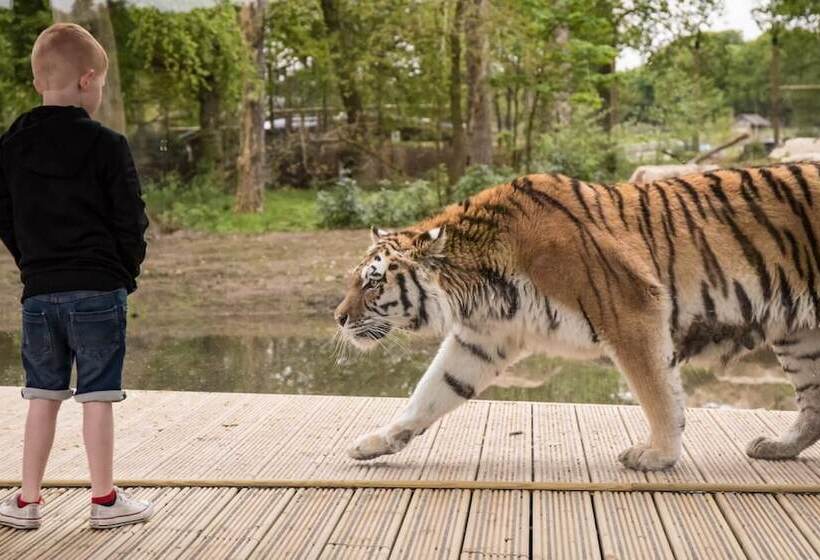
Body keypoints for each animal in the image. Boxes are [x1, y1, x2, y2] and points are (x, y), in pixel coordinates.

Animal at [334, 164, 820, 470]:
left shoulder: (632, 310)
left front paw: (659, 456)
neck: (478, 282)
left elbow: (659, 394)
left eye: (373, 283)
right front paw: (373, 443)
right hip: (800, 335)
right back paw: (777, 446)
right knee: (812, 403)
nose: (338, 317)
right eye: (356, 280)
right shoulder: (482, 339)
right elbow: (430, 393)